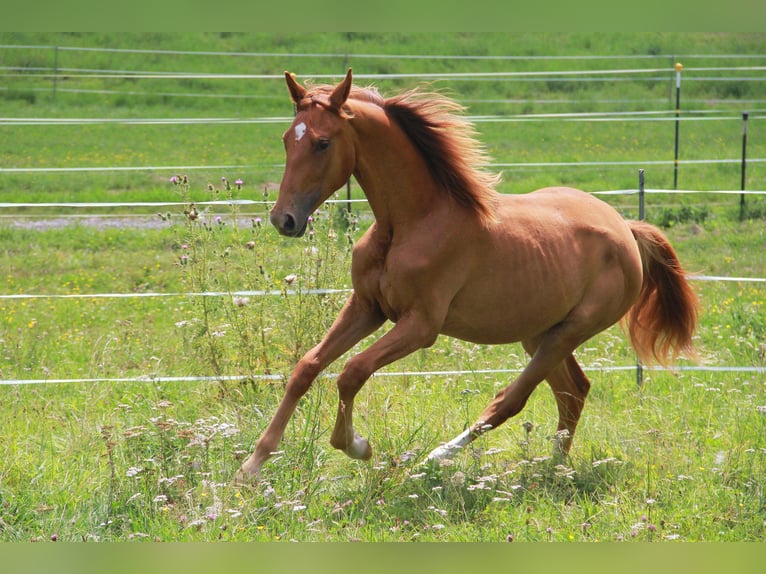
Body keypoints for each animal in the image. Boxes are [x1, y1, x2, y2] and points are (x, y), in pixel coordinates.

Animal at [237, 70, 700, 484]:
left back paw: (438, 458)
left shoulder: (421, 325)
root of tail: (625, 228)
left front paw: (357, 446)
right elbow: (307, 367)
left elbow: (352, 371)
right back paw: (554, 468)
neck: (412, 222)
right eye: (286, 139)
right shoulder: (367, 307)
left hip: (570, 331)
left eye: (322, 142)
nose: (283, 219)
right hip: (541, 332)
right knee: (574, 391)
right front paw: (251, 467)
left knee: (511, 400)